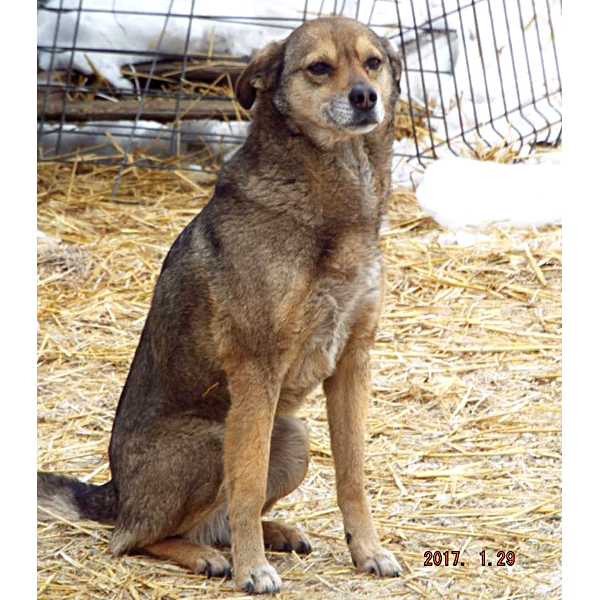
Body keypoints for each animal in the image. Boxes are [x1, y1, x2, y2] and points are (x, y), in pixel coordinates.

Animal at [38, 16, 402, 594]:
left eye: (374, 63)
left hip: (291, 438)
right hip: (215, 440)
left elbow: (353, 475)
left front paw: (367, 551)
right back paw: (212, 556)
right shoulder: (256, 367)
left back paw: (273, 533)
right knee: (136, 538)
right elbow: (247, 485)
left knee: (213, 521)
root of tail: (114, 492)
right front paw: (254, 570)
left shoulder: (353, 359)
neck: (334, 205)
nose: (366, 97)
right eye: (319, 67)